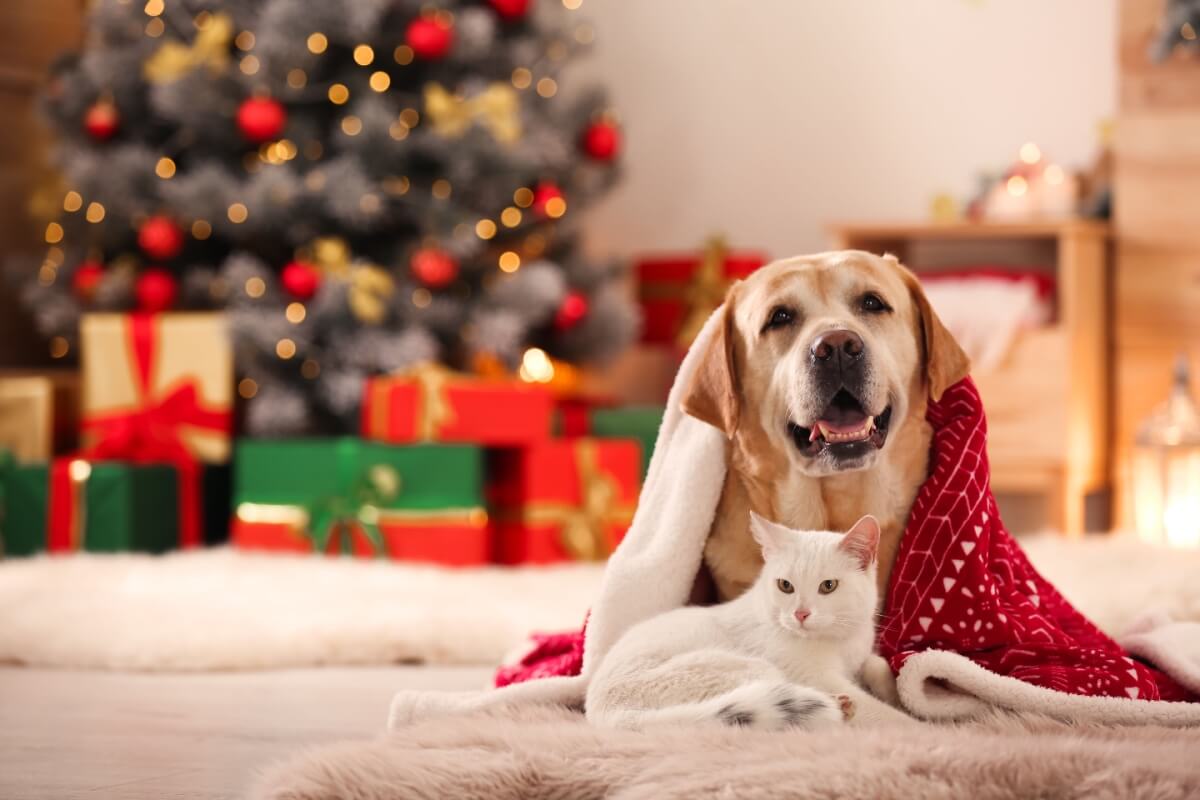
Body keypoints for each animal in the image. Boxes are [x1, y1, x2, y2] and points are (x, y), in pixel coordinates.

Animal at [588, 513, 907, 734]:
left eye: (828, 586)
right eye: (785, 586)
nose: (800, 614)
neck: (839, 639)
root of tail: (607, 717)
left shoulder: (861, 656)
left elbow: (876, 664)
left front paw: (892, 689)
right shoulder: (813, 675)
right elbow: (884, 714)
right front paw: (915, 726)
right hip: (749, 670)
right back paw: (840, 707)